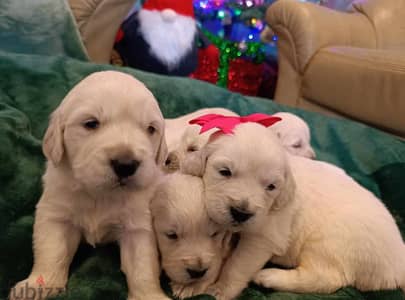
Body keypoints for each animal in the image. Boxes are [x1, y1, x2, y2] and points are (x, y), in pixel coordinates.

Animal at [9, 71, 170, 300]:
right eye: (91, 124)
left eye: (150, 129)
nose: (126, 164)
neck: (100, 193)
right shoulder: (55, 214)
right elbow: (52, 250)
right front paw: (39, 285)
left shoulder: (138, 225)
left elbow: (142, 267)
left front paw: (149, 295)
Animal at [183, 122, 404, 300]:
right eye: (225, 172)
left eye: (271, 187)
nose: (240, 213)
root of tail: (397, 260)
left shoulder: (263, 237)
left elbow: (237, 265)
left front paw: (219, 289)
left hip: (330, 243)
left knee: (325, 278)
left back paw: (269, 276)